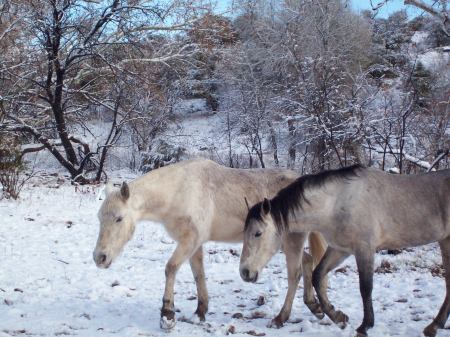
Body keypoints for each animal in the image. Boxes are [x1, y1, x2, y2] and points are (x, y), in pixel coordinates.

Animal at [93, 158, 326, 328]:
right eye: (99, 218)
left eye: (119, 218)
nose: (99, 257)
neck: (179, 192)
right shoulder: (194, 244)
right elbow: (198, 274)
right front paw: (200, 312)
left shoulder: (190, 240)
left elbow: (171, 268)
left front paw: (167, 314)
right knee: (307, 261)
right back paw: (314, 306)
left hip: (291, 241)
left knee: (294, 274)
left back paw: (281, 318)